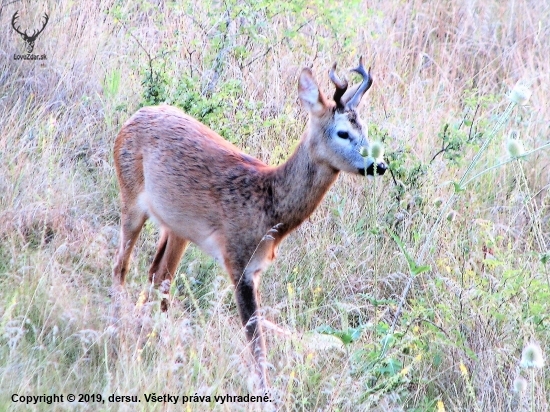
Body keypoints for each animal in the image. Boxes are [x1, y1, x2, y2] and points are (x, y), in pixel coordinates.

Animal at [112, 56, 388, 388]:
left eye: (365, 129)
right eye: (343, 133)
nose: (379, 165)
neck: (268, 203)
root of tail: (135, 117)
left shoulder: (254, 268)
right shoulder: (238, 262)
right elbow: (256, 342)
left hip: (177, 228)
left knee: (158, 276)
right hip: (130, 197)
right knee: (122, 265)